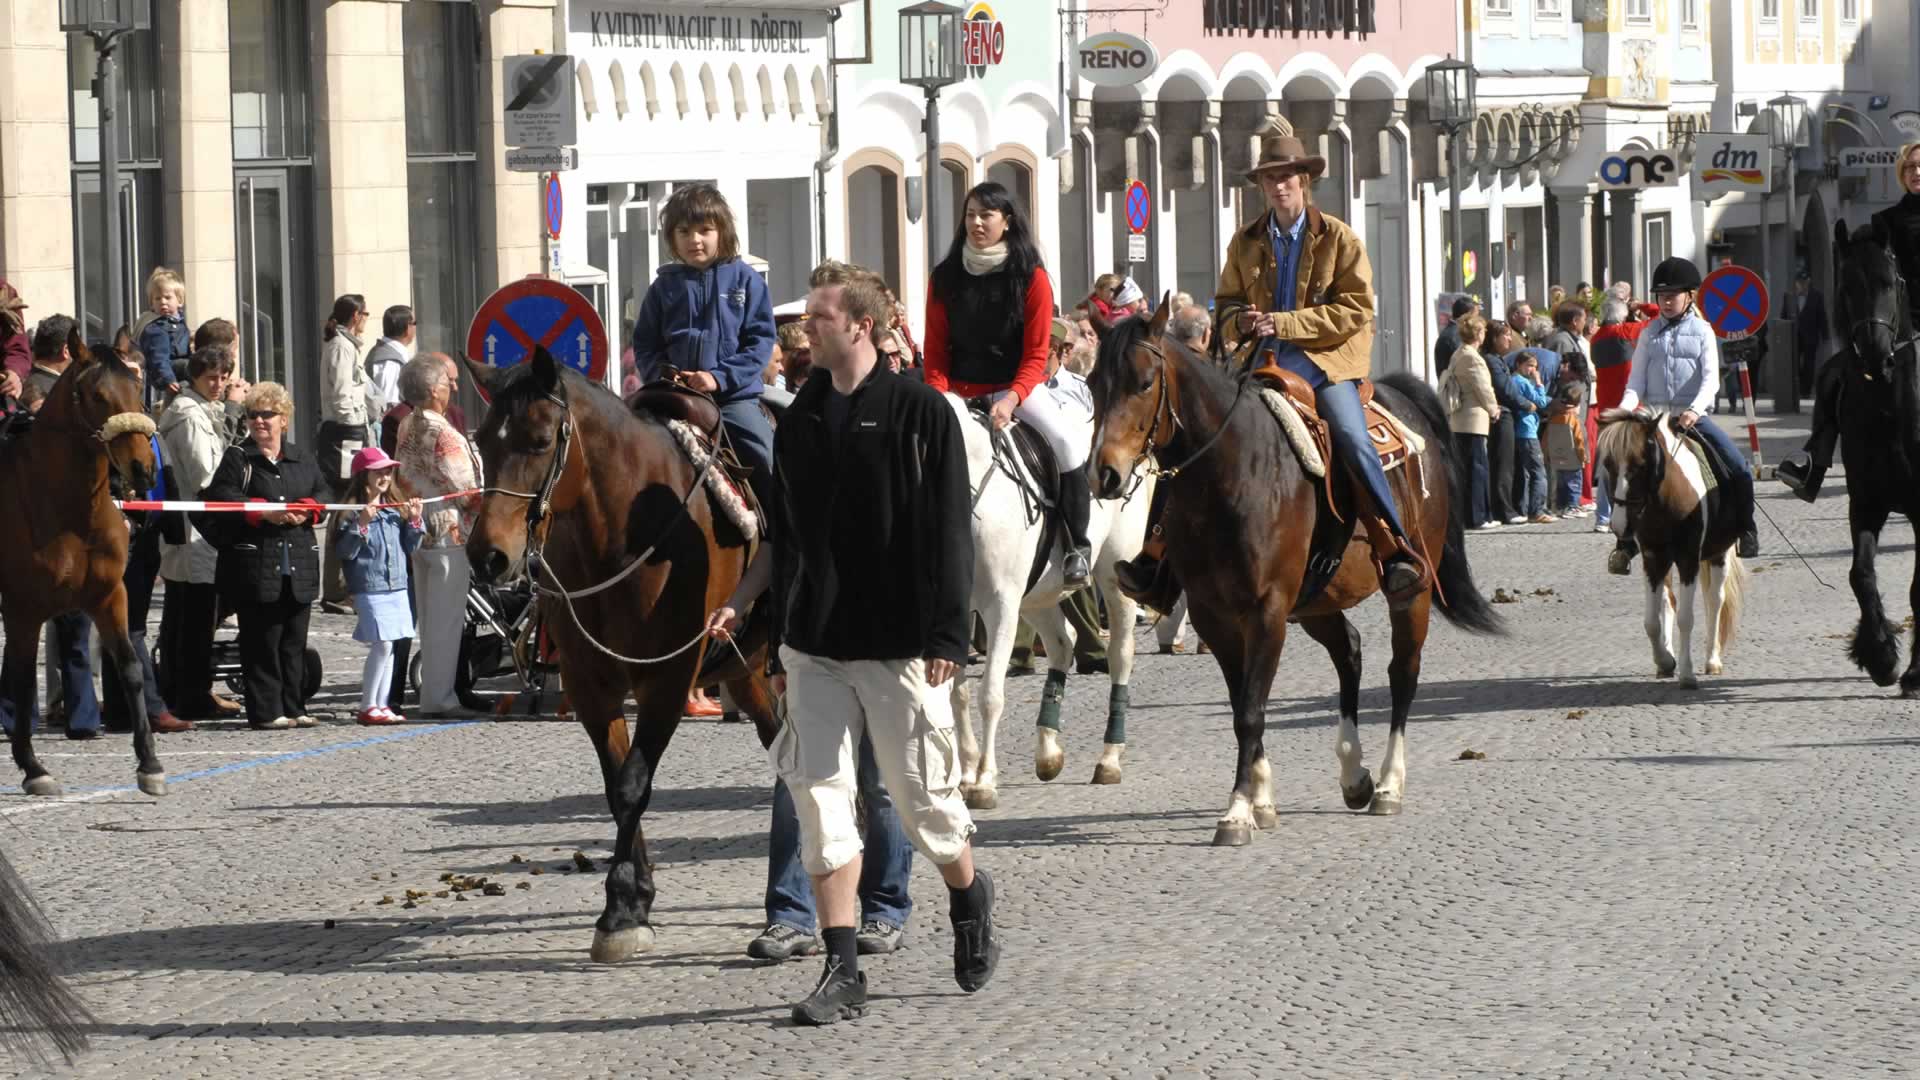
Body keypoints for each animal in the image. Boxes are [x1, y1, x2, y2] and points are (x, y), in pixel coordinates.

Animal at [460, 343, 775, 957]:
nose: (488, 556)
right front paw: (629, 902)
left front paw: (623, 907)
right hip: (745, 668)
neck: (623, 535)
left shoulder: (667, 681)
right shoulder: (591, 685)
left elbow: (633, 785)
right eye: (482, 440)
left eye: (540, 440)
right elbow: (616, 785)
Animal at [944, 388, 1152, 807]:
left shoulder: (1000, 606)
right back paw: (1048, 753)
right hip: (1036, 596)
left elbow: (989, 694)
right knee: (1061, 646)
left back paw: (1109, 759)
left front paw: (984, 781)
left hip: (1113, 578)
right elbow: (957, 696)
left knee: (1120, 655)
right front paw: (967, 773)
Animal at [1082, 307, 1497, 845]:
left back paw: (1388, 784)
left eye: (1145, 382)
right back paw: (1354, 775)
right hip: (1318, 600)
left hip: (1412, 593)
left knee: (1402, 673)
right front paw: (1260, 800)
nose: (1104, 474)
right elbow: (1242, 703)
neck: (1232, 471)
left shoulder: (1267, 611)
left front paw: (1238, 811)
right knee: (1349, 651)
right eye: (1092, 382)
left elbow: (1251, 711)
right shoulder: (1215, 616)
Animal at [1597, 407, 1751, 684]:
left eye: (1641, 465)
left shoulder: (1689, 559)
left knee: (1715, 601)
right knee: (1668, 601)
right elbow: (1651, 621)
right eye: (1608, 464)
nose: (1619, 524)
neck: (1666, 500)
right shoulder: (1653, 559)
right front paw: (1666, 661)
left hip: (1718, 554)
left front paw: (1687, 674)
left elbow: (1687, 618)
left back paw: (1712, 660)